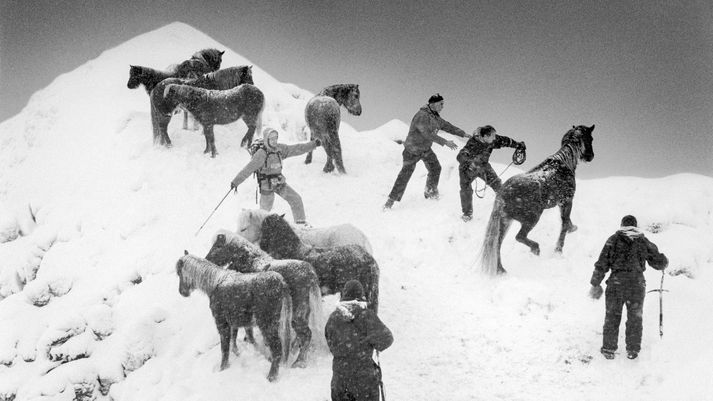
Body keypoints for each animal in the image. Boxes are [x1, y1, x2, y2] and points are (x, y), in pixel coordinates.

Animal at [177, 252, 290, 380]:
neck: (215, 283)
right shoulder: (234, 323)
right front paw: (236, 355)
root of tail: (281, 282)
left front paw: (223, 368)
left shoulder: (222, 323)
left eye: (179, 273)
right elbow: (234, 341)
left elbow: (225, 348)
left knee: (277, 349)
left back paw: (271, 377)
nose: (182, 292)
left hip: (267, 324)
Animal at [204, 230, 324, 368]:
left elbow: (248, 330)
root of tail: (310, 273)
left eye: (218, 246)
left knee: (306, 335)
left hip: (296, 315)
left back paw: (299, 362)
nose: (207, 259)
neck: (251, 261)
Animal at [478, 124, 596, 276]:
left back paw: (501, 270)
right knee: (519, 237)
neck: (563, 163)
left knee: (498, 243)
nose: (590, 156)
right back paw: (535, 249)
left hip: (505, 221)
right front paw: (559, 250)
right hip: (531, 219)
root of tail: (504, 193)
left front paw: (572, 228)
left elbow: (566, 221)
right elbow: (564, 224)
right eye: (590, 138)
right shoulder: (566, 201)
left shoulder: (561, 204)